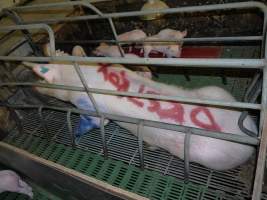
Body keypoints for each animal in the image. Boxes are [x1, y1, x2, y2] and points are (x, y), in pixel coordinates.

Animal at [24, 61, 258, 171]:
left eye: (44, 79)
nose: (31, 85)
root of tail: (249, 143)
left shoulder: (89, 103)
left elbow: (98, 120)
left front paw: (77, 134)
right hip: (217, 92)